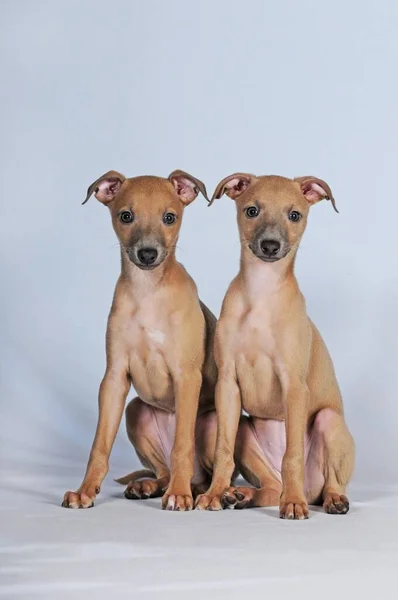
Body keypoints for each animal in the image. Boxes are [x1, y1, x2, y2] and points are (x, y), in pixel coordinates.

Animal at [62, 169, 218, 510]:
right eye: (126, 216)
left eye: (169, 217)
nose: (148, 254)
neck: (148, 291)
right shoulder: (114, 377)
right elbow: (99, 445)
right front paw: (85, 490)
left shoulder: (187, 376)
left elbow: (182, 443)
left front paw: (179, 495)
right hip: (135, 411)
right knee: (163, 470)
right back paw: (149, 486)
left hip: (214, 420)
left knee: (202, 474)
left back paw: (202, 490)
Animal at [196, 175, 354, 520]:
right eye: (252, 210)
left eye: (295, 215)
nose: (270, 246)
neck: (261, 292)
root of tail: (312, 492)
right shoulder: (228, 385)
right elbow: (223, 449)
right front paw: (214, 493)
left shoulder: (293, 385)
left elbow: (292, 454)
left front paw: (292, 504)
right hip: (244, 429)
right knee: (270, 487)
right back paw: (242, 495)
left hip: (329, 422)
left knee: (330, 482)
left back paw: (324, 498)